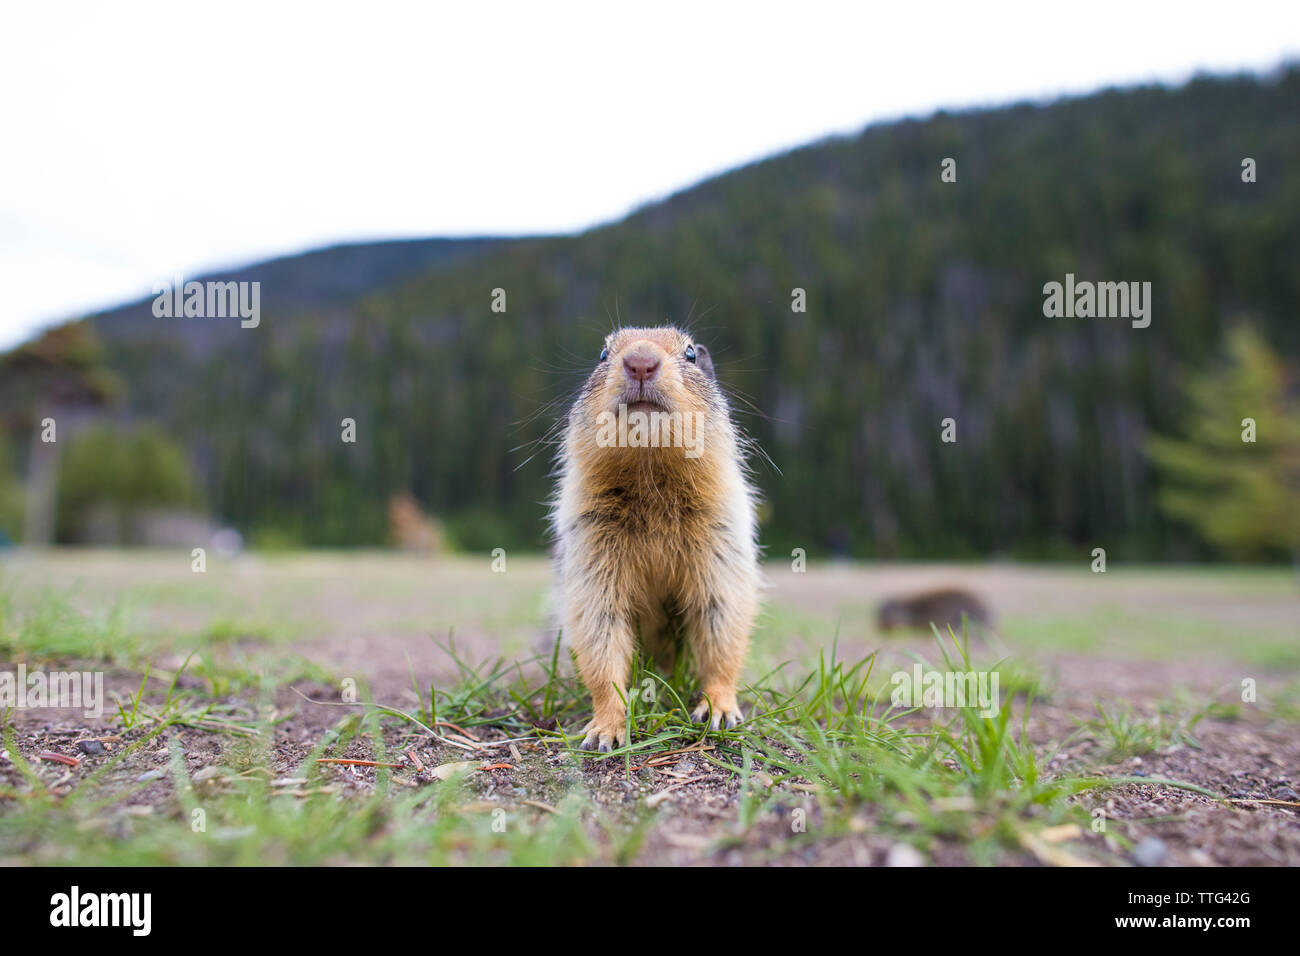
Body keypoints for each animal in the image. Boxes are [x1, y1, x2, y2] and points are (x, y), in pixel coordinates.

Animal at [548, 325, 759, 749]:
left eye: (691, 353)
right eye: (602, 354)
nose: (640, 361)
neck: (650, 474)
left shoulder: (722, 539)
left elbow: (722, 617)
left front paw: (718, 709)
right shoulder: (590, 545)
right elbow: (599, 626)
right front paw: (605, 729)